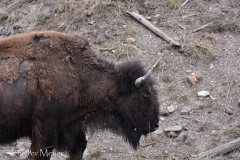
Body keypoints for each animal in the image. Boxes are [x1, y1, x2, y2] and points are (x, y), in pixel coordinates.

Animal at [0, 31, 159, 159]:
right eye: (145, 96)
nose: (155, 124)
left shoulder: (72, 125)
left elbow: (80, 147)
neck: (77, 72)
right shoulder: (45, 126)